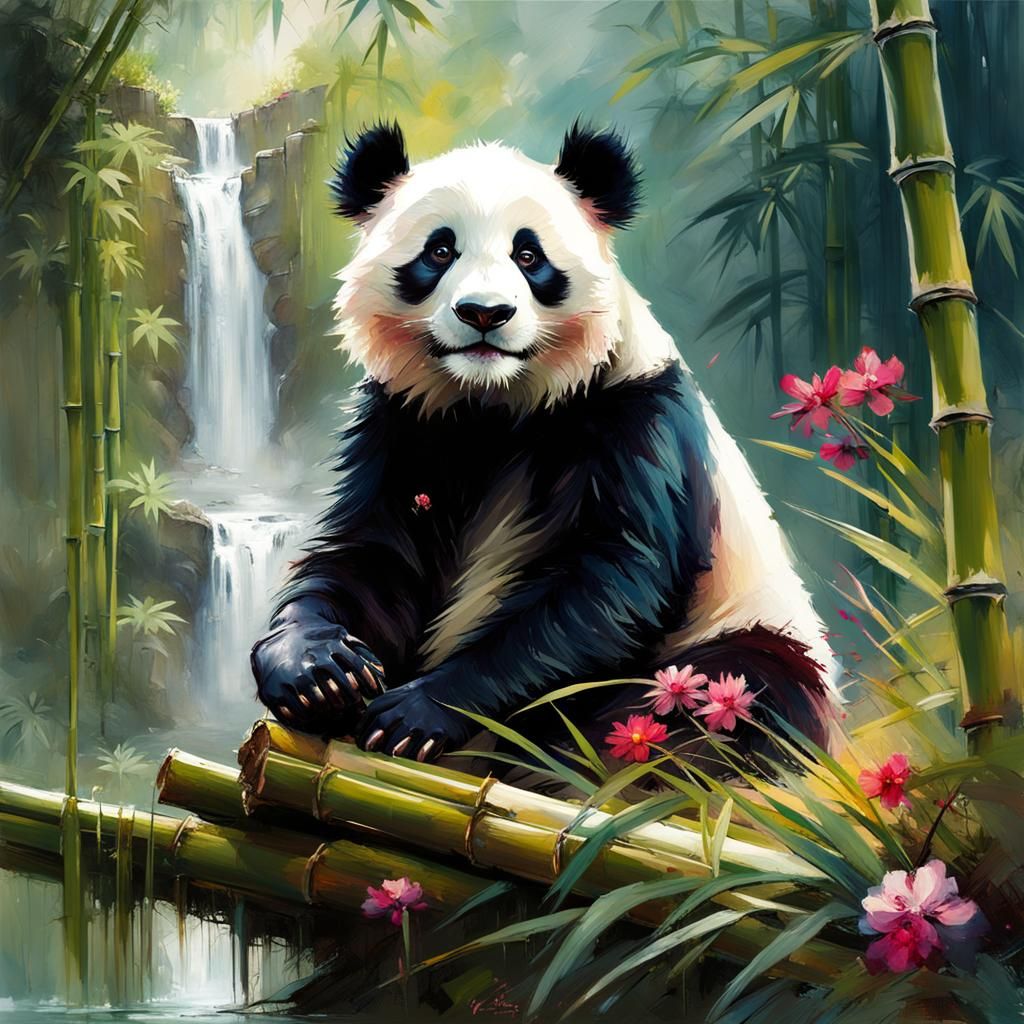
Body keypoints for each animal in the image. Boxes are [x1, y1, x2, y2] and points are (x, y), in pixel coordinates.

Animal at [250, 121, 838, 771]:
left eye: (528, 256)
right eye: (439, 251)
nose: (484, 313)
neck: (493, 403)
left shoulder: (634, 420)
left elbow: (611, 579)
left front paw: (416, 713)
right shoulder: (402, 423)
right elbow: (370, 554)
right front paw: (318, 670)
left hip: (741, 637)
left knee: (722, 706)